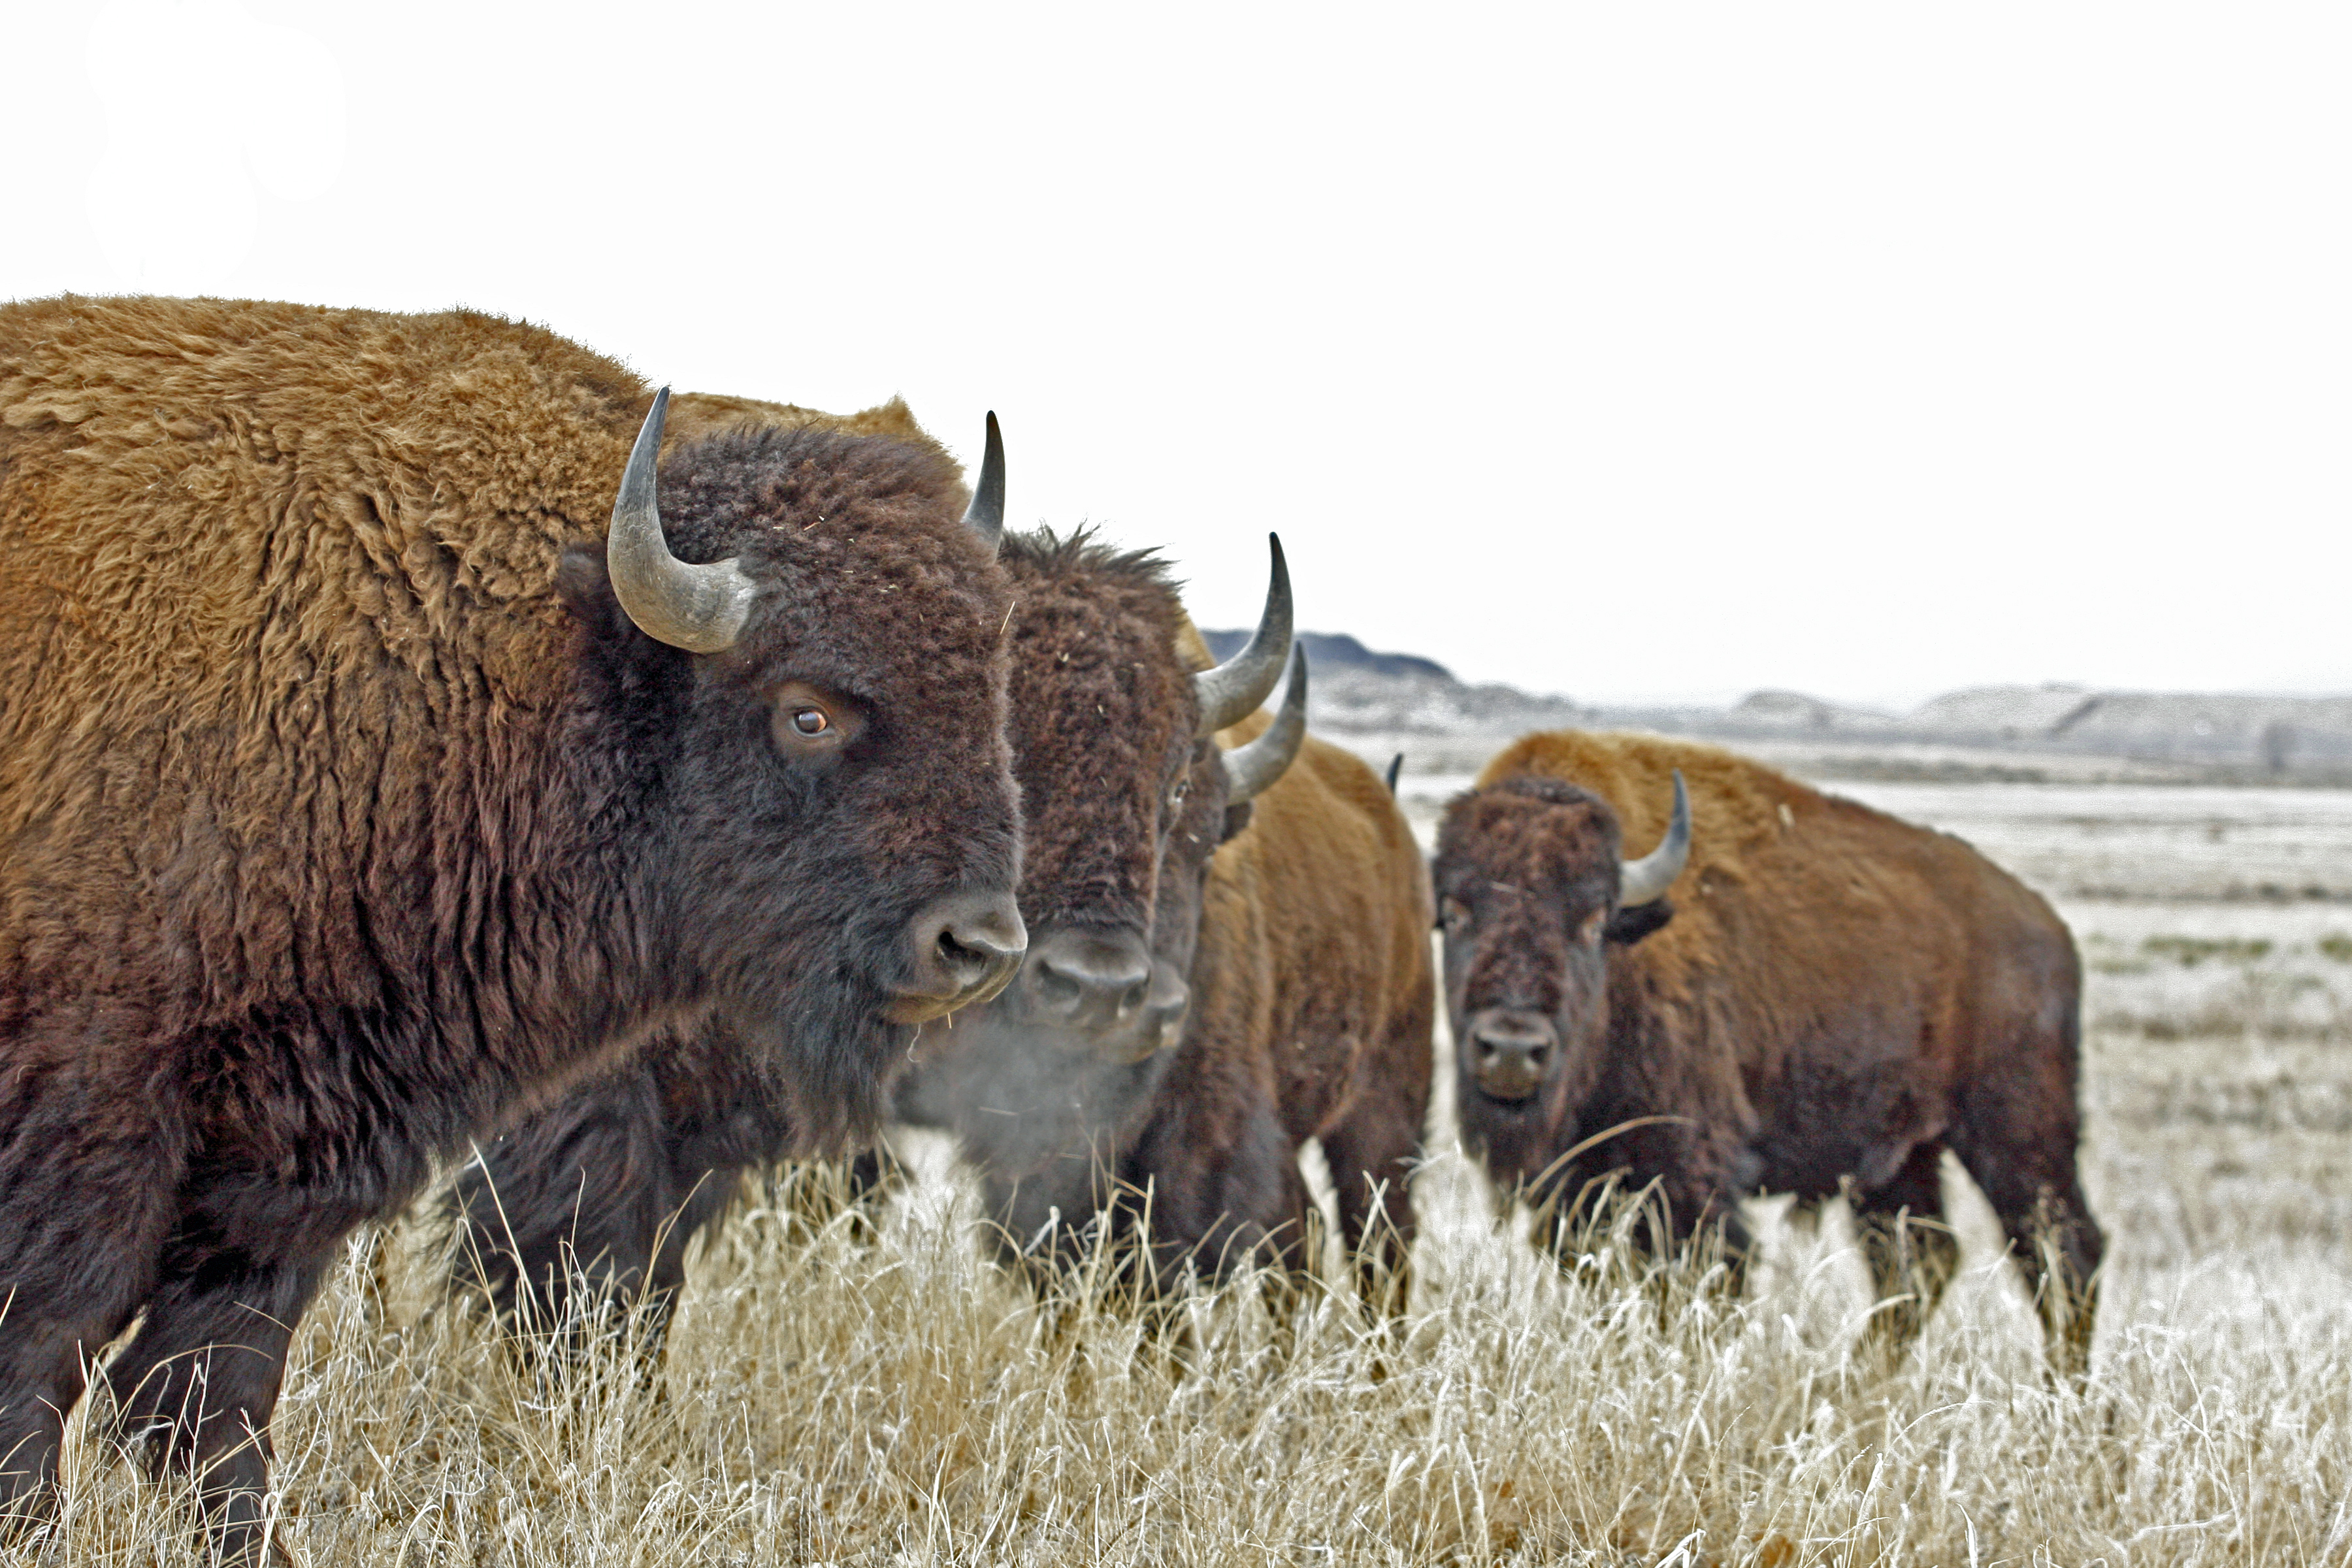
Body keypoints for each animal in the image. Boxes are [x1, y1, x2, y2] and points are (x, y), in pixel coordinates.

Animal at [2, 291, 1030, 1542]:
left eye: (986, 686)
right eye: (808, 712)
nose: (978, 943)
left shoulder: (287, 1158)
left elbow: (218, 1378)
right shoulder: (94, 1108)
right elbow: (49, 1343)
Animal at [1429, 728, 2117, 1382]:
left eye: (1594, 920)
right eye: (1455, 912)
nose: (1512, 1049)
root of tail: (2048, 926)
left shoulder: (1690, 1178)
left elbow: (1701, 1283)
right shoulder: (1576, 1189)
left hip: (2019, 1137)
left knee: (2063, 1252)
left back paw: (2062, 1400)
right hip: (1901, 1159)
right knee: (1918, 1259)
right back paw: (1856, 1383)